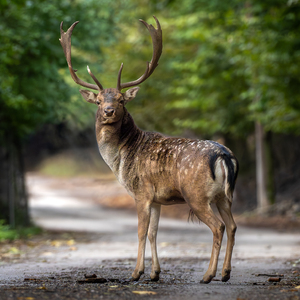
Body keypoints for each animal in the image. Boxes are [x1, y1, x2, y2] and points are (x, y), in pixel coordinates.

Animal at [59, 16, 239, 284]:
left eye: (121, 99)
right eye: (99, 100)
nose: (108, 111)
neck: (122, 156)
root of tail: (223, 155)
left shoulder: (141, 192)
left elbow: (141, 231)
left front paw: (136, 272)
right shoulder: (157, 199)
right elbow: (154, 232)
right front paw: (155, 273)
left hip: (196, 194)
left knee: (218, 227)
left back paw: (208, 275)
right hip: (224, 196)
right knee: (233, 226)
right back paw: (225, 273)